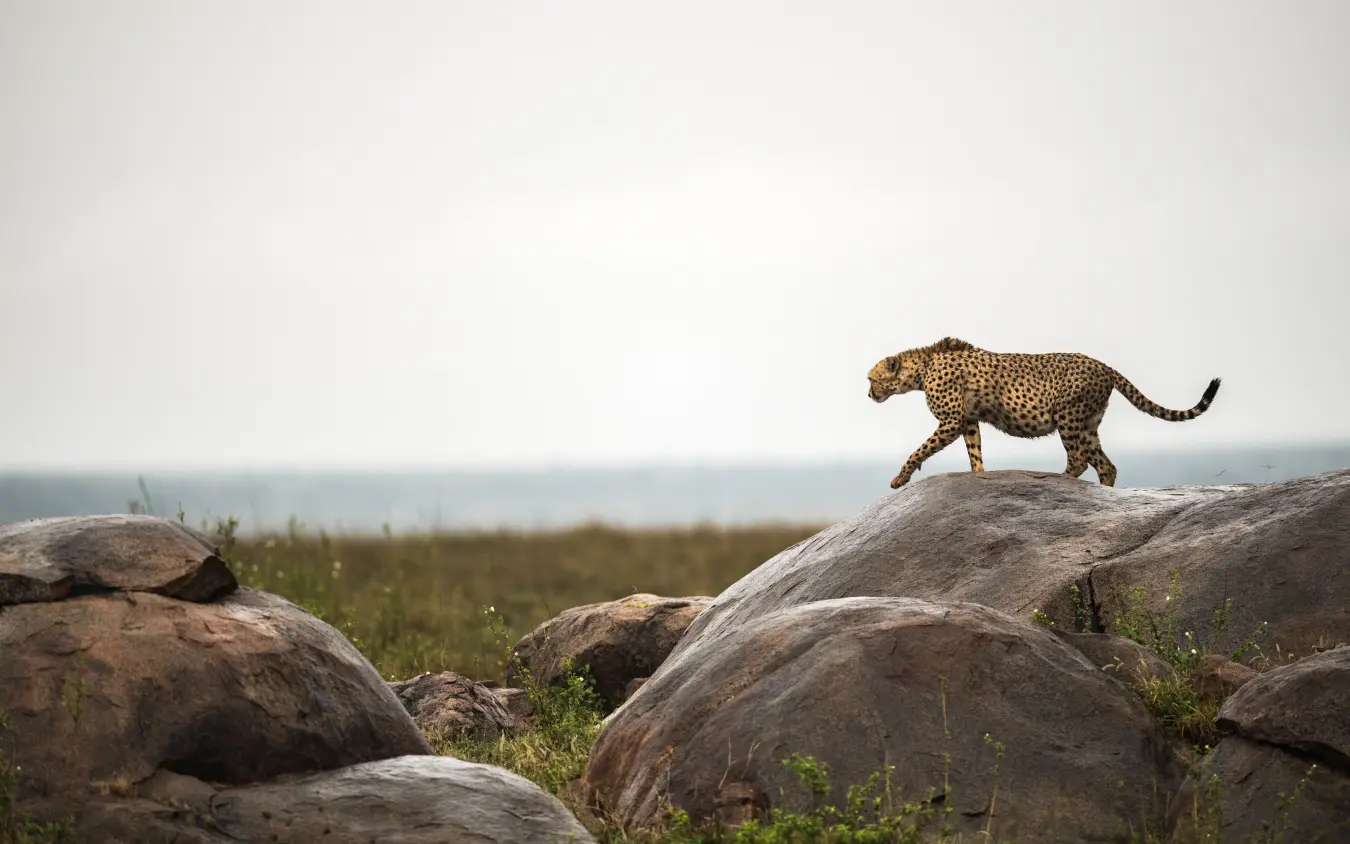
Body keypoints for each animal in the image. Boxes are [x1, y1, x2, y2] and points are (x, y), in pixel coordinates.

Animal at [867, 337, 1221, 489]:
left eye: (871, 379)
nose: (869, 394)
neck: (922, 366)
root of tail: (1102, 364)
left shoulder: (952, 421)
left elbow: (919, 450)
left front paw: (899, 478)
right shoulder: (967, 421)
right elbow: (975, 453)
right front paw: (979, 475)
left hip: (1068, 417)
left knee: (1078, 460)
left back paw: (1059, 478)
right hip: (1088, 424)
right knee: (1105, 465)